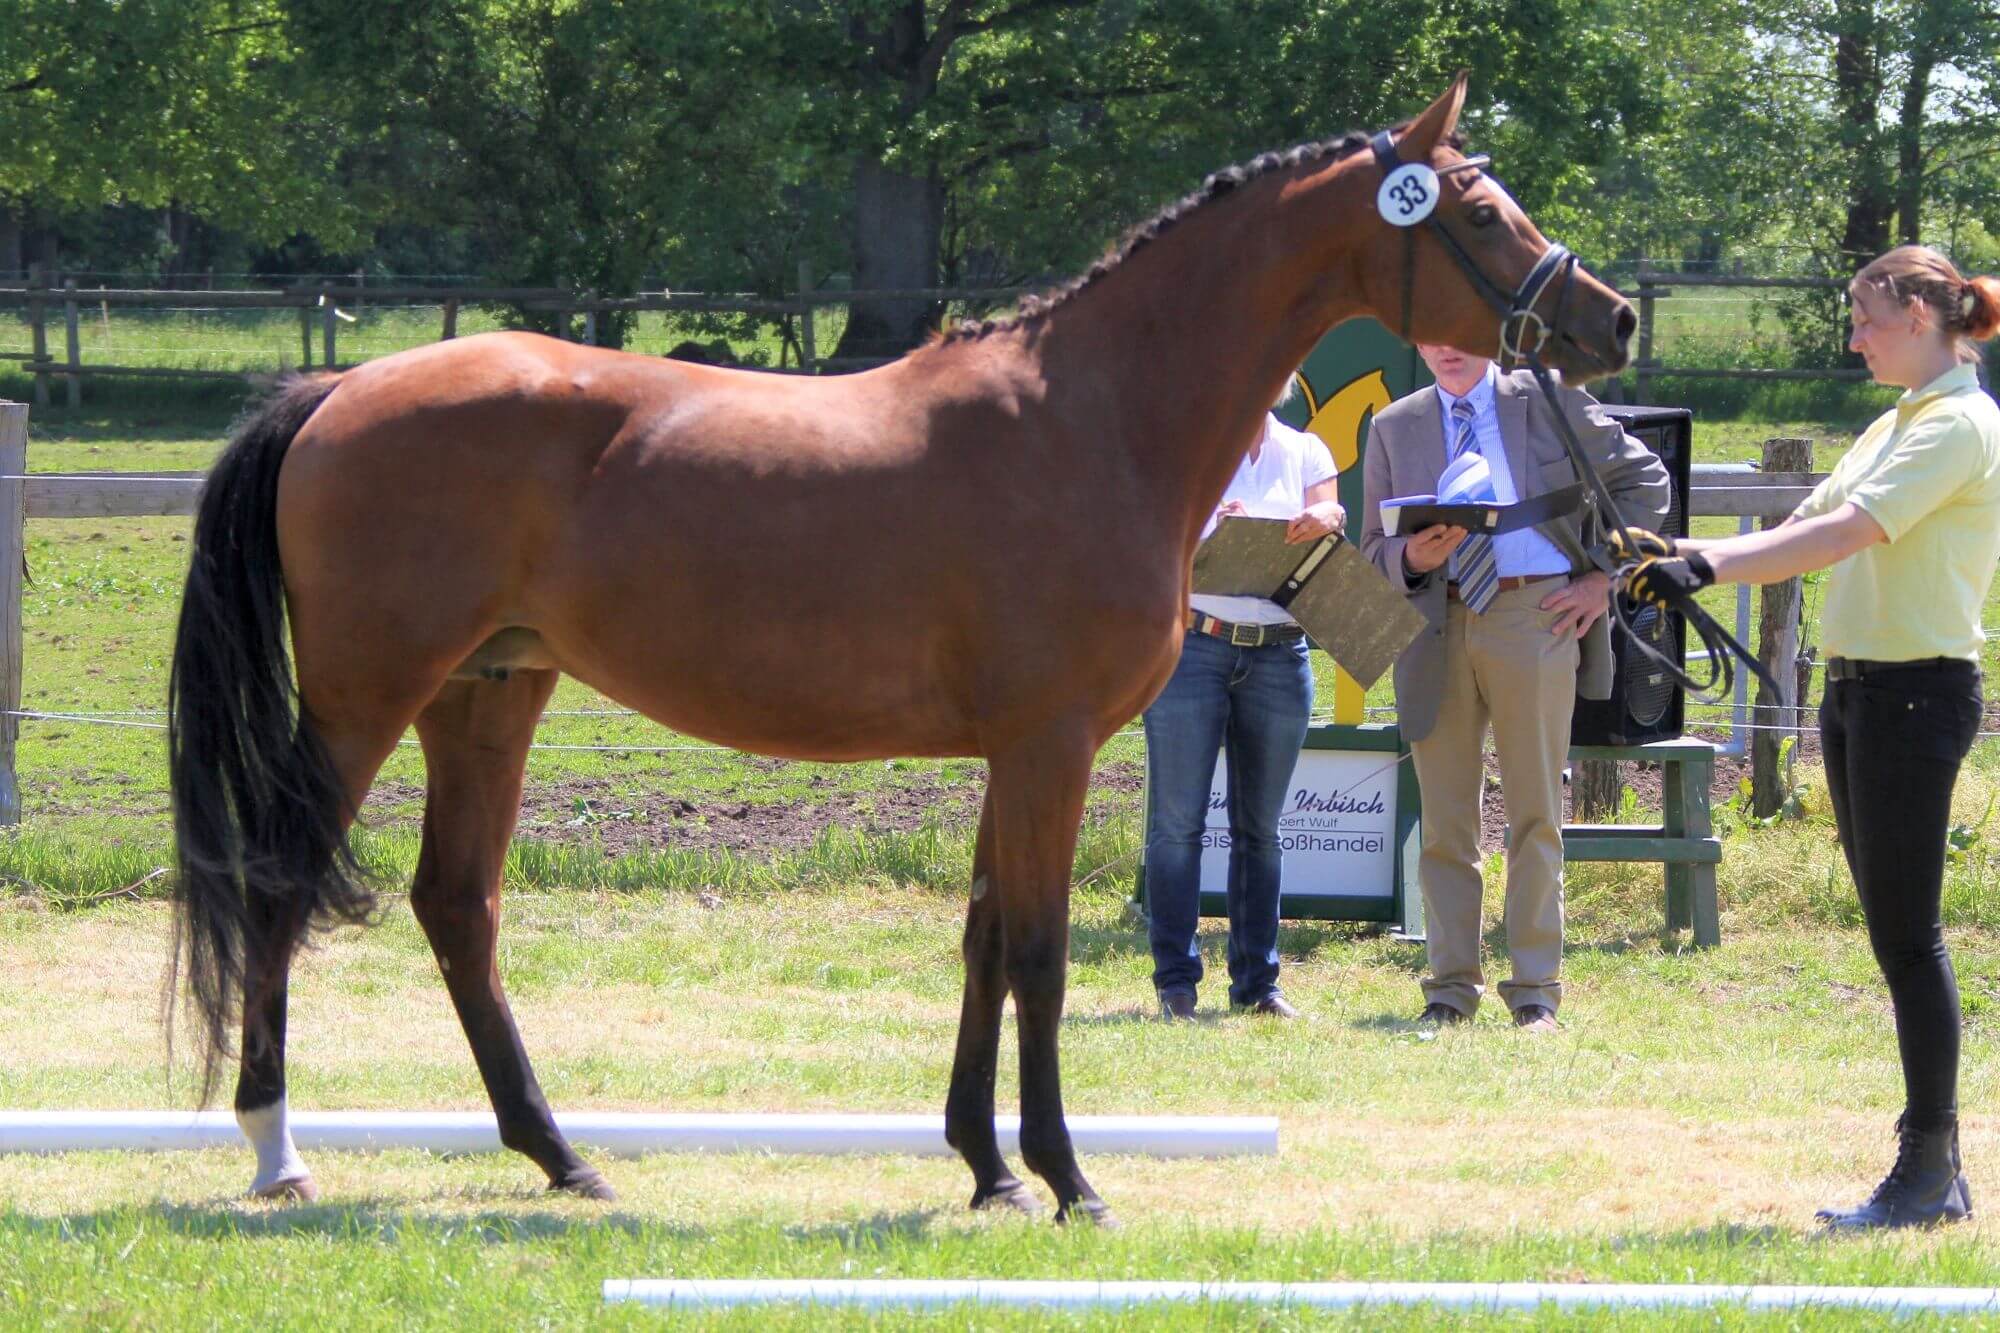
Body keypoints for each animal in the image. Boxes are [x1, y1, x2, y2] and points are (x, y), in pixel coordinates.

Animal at [172, 75, 1632, 1216]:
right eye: (1481, 210)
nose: (1610, 318)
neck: (1092, 416)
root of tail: (339, 388)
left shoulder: (1009, 750)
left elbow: (983, 937)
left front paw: (986, 1168)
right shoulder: (1048, 746)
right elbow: (1036, 950)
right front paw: (1068, 1177)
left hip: (490, 693)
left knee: (457, 904)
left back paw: (561, 1156)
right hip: (368, 696)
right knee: (280, 884)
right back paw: (277, 1154)